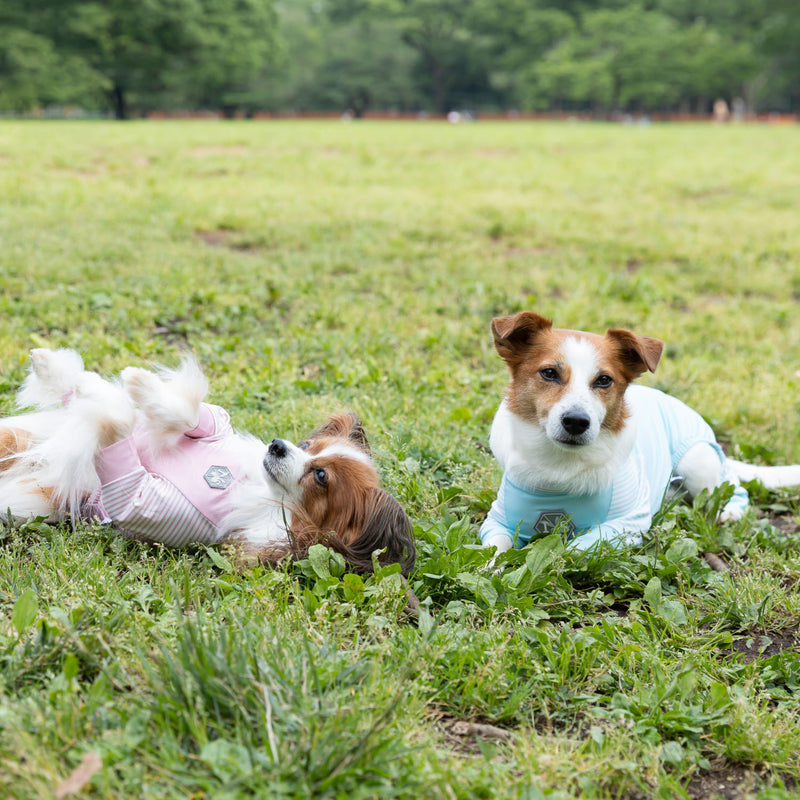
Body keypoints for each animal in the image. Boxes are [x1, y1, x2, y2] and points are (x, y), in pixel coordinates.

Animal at [1, 350, 418, 576]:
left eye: (320, 476)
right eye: (307, 445)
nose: (277, 446)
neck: (246, 484)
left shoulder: (144, 503)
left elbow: (121, 430)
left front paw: (112, 399)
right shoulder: (214, 425)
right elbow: (192, 414)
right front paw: (131, 383)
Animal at [478, 314, 800, 556]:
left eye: (604, 380)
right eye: (548, 373)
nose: (576, 422)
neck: (560, 468)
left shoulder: (625, 524)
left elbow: (571, 548)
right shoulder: (497, 520)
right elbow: (494, 548)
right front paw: (490, 570)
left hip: (698, 461)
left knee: (730, 485)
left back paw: (730, 510)